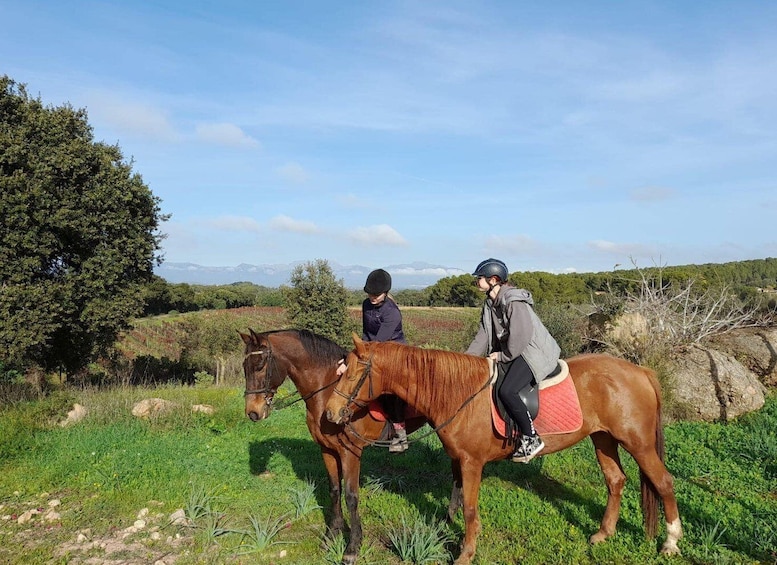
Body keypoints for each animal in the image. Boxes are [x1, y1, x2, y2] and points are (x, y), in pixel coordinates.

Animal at [239, 328, 428, 560]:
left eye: (259, 366)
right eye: (244, 367)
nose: (253, 412)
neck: (326, 391)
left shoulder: (350, 453)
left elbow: (351, 496)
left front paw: (352, 547)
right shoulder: (327, 450)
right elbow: (335, 491)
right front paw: (331, 536)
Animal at [324, 334, 684, 564]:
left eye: (355, 373)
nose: (329, 413)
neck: (458, 393)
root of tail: (641, 372)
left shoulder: (472, 463)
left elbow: (469, 509)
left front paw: (466, 554)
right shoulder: (460, 461)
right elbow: (460, 503)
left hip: (638, 443)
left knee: (664, 482)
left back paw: (670, 542)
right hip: (603, 439)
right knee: (615, 480)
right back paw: (603, 534)